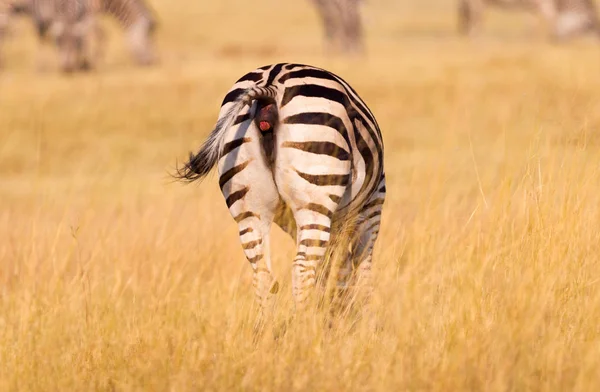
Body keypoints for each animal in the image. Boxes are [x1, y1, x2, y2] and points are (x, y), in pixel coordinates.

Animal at [176, 62, 386, 310]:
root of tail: (271, 84)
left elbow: (330, 272)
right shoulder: (373, 207)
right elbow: (361, 272)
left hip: (249, 208)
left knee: (263, 275)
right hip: (315, 192)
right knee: (302, 270)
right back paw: (305, 320)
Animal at [460, 0, 600, 39]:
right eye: (589, 24)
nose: (596, 37)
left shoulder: (534, 6)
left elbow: (531, 23)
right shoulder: (545, 4)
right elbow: (551, 19)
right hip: (476, 3)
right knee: (476, 19)